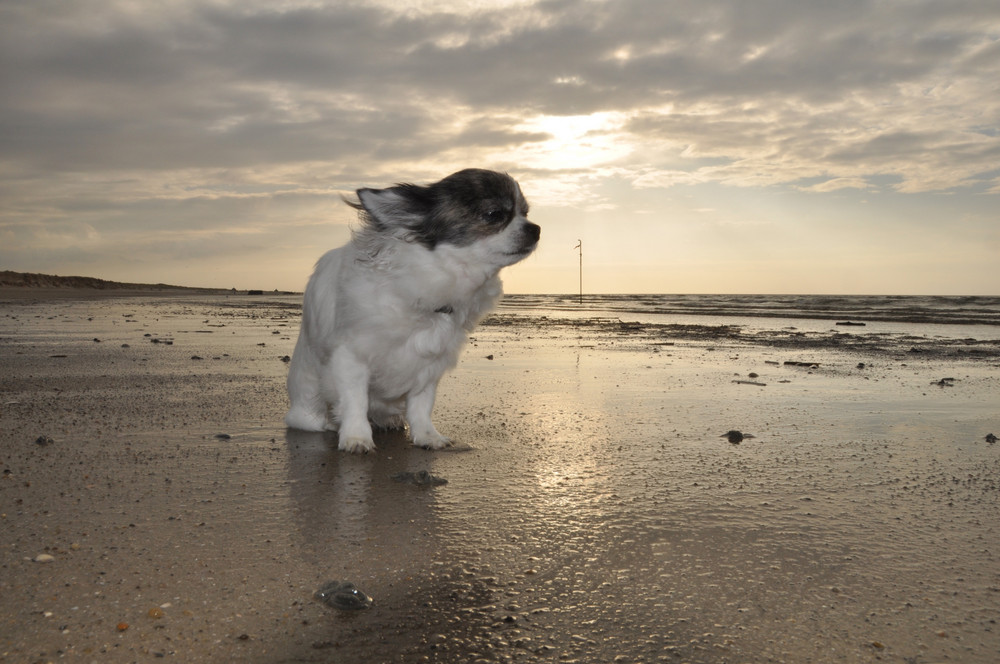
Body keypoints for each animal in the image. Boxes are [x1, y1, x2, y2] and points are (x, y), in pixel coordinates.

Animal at [286, 169, 544, 454]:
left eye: (526, 213)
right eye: (494, 214)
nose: (536, 228)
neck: (431, 282)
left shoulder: (429, 365)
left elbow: (422, 405)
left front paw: (427, 435)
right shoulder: (351, 357)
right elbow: (355, 400)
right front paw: (356, 437)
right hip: (307, 405)